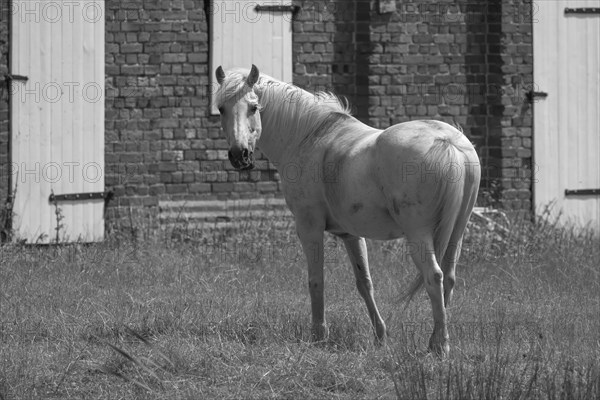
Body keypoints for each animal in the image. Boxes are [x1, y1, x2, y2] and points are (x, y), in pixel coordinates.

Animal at [213, 65, 480, 356]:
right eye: (221, 108)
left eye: (253, 107)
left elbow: (316, 281)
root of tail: (447, 142)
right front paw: (380, 337)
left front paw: (318, 335)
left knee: (434, 276)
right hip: (456, 233)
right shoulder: (351, 234)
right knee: (449, 278)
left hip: (419, 235)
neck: (307, 136)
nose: (239, 155)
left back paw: (439, 346)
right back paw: (436, 338)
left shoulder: (309, 227)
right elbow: (365, 283)